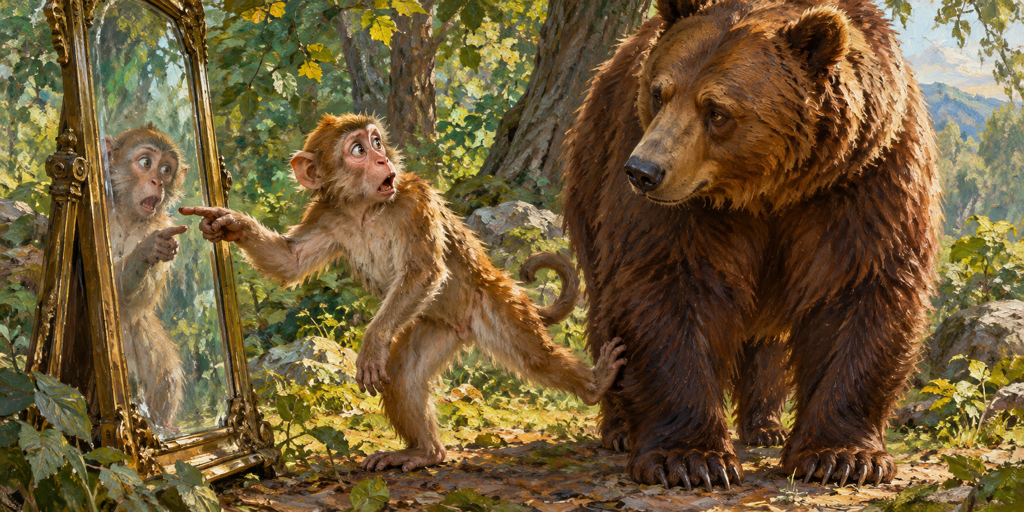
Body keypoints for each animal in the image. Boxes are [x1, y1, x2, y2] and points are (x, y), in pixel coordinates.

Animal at [103, 122, 188, 433]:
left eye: (165, 170)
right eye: (145, 163)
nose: (157, 182)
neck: (127, 215)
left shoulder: (160, 223)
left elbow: (134, 304)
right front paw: (145, 251)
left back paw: (162, 426)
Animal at [180, 113, 627, 472]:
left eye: (376, 142)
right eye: (357, 149)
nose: (382, 161)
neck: (365, 208)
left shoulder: (415, 198)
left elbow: (424, 271)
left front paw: (372, 342)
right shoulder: (327, 216)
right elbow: (288, 261)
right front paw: (228, 223)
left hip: (490, 303)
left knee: (536, 358)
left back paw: (592, 385)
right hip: (437, 325)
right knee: (403, 377)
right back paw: (425, 453)